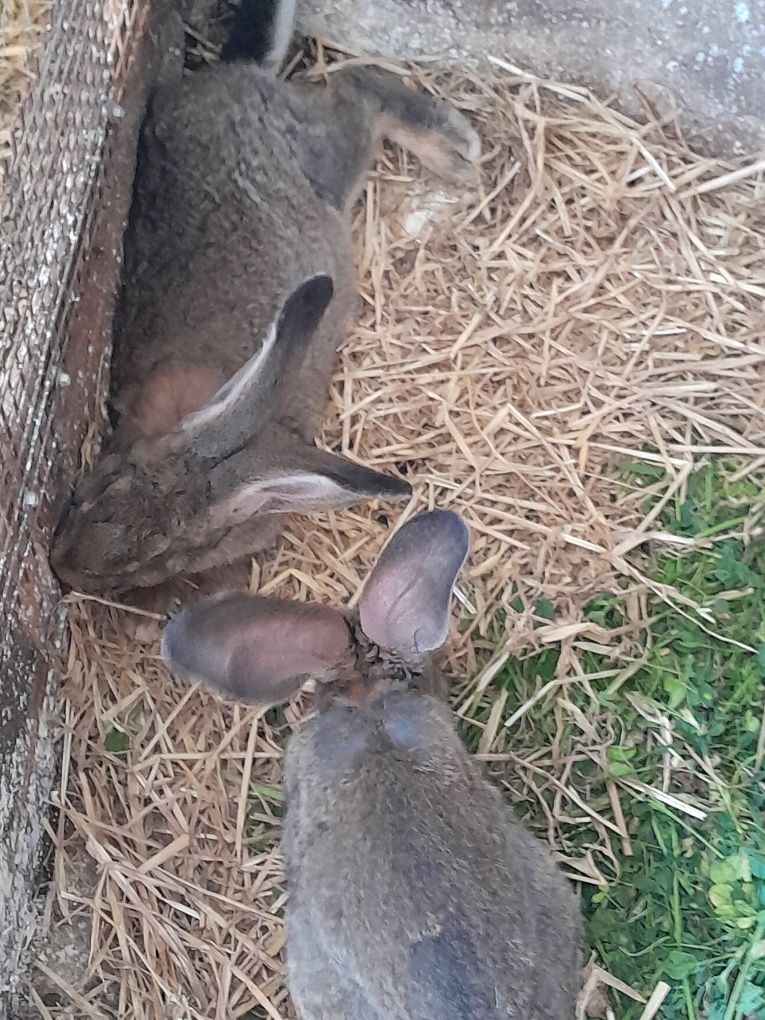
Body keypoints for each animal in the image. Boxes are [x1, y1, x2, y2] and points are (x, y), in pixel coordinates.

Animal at [51, 0, 481, 595]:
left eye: (157, 558)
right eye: (103, 485)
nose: (60, 562)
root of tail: (236, 73)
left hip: (328, 158)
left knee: (359, 91)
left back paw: (455, 151)